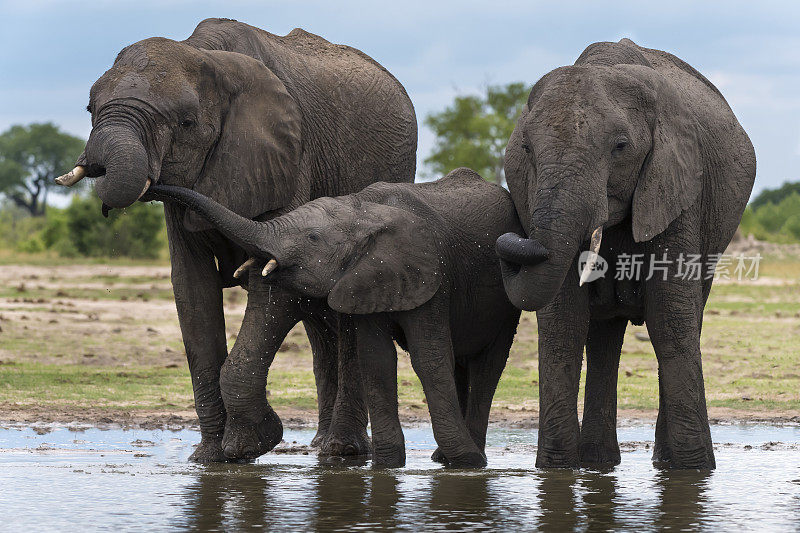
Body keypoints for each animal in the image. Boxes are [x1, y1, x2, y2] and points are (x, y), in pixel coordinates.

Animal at [55, 18, 416, 460]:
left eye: (186, 123)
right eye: (90, 109)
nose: (98, 170)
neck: (204, 54)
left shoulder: (286, 160)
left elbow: (271, 281)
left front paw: (249, 446)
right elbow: (192, 289)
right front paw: (209, 458)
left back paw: (340, 451)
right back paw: (320, 444)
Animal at [145, 168, 524, 468]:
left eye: (313, 238)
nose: (150, 184)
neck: (364, 211)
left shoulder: (431, 274)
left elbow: (429, 358)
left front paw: (466, 463)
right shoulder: (366, 278)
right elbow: (375, 359)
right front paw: (387, 466)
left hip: (505, 303)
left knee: (488, 366)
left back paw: (470, 458)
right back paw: (442, 458)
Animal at [496, 39, 752, 468]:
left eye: (620, 147)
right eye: (526, 148)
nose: (508, 243)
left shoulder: (677, 185)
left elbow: (669, 320)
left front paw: (694, 470)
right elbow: (563, 322)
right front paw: (555, 470)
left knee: (687, 317)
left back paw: (657, 463)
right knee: (603, 337)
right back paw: (598, 462)